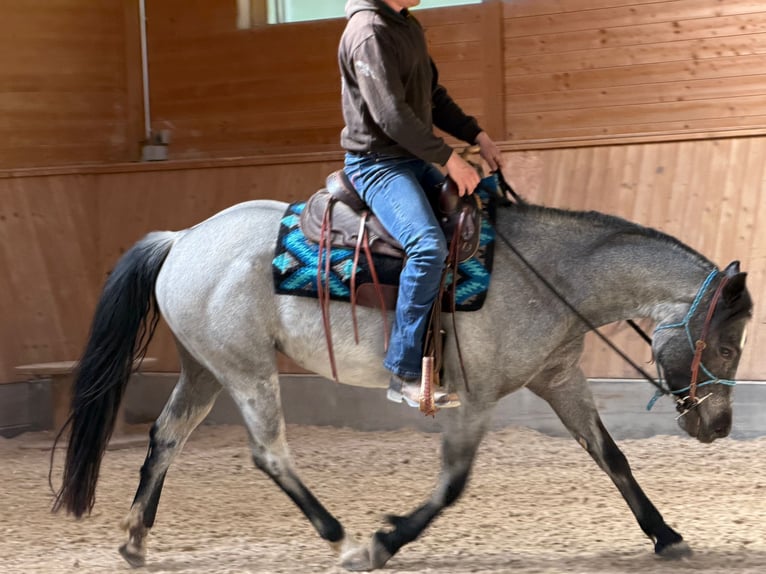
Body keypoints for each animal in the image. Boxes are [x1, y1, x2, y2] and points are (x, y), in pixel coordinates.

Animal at [52, 195, 752, 571]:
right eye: (724, 343)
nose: (718, 426)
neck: (549, 276)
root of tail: (183, 238)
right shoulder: (474, 399)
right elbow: (452, 485)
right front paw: (384, 542)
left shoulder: (560, 379)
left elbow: (612, 457)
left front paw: (666, 535)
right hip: (246, 370)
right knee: (269, 452)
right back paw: (339, 538)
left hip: (205, 370)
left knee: (166, 437)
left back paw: (135, 539)